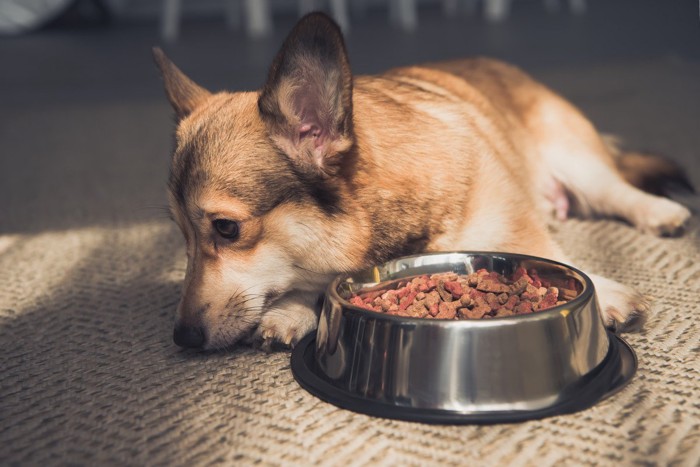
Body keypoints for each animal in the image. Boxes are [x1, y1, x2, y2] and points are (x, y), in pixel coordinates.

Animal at [152, 11, 688, 352]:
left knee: (617, 190)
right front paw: (291, 310)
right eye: (181, 234)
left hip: (575, 157)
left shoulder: (516, 225)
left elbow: (550, 255)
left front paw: (606, 293)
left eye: (226, 229)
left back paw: (661, 213)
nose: (182, 339)